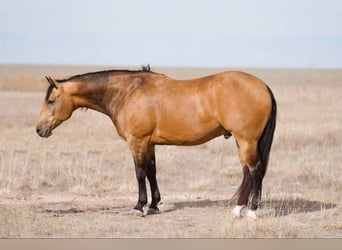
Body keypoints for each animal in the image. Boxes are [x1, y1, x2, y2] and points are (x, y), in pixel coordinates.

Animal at [36, 66, 276, 219]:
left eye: (51, 101)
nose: (39, 129)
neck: (127, 92)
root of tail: (263, 86)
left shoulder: (137, 142)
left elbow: (140, 172)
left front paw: (139, 206)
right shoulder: (149, 144)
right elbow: (152, 172)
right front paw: (153, 205)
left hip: (246, 140)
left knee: (255, 170)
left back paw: (251, 211)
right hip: (242, 142)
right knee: (247, 172)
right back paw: (238, 209)